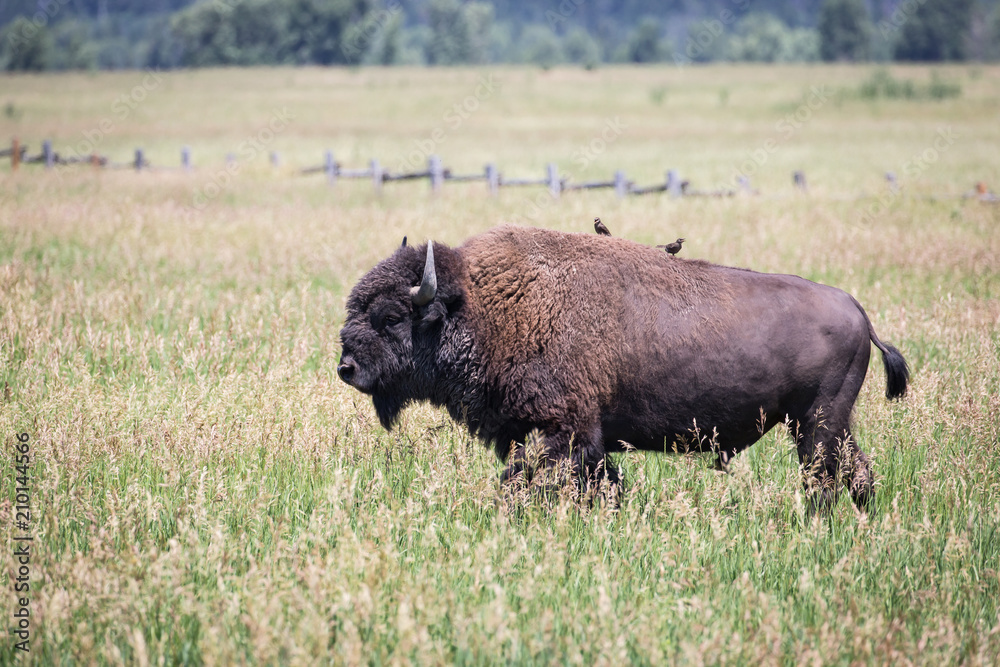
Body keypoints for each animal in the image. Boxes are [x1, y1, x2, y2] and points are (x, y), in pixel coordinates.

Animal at [336, 224, 908, 512]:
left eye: (392, 316)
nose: (346, 367)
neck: (482, 307)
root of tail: (858, 312)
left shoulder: (564, 433)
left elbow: (536, 484)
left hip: (817, 425)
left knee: (823, 482)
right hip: (825, 425)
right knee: (856, 475)